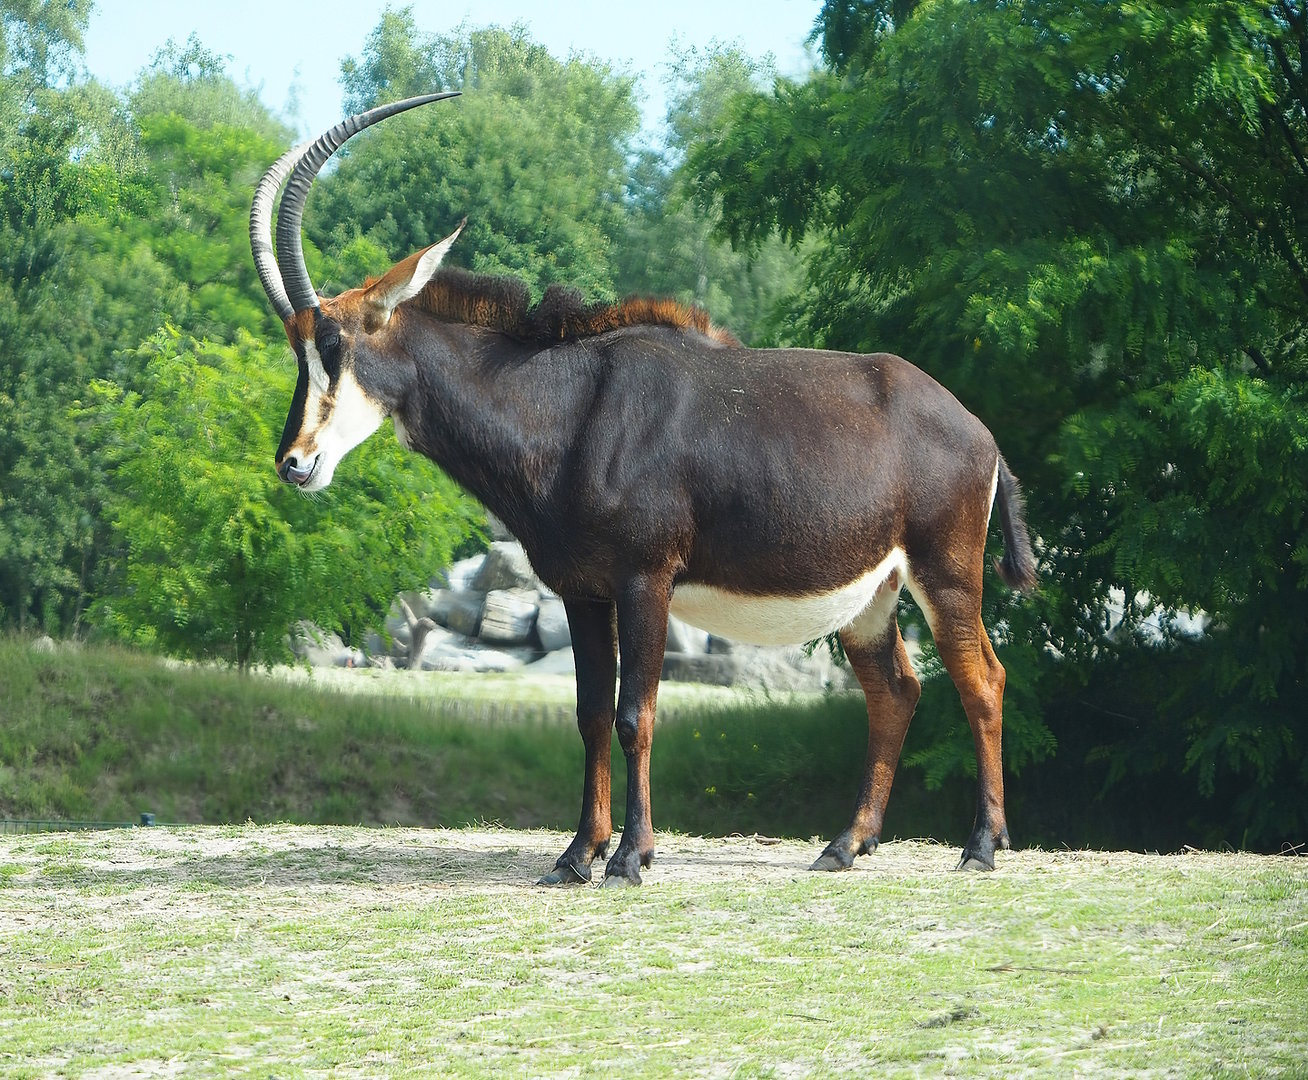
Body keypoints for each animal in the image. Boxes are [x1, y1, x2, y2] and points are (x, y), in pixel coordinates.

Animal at [250, 92, 1038, 886]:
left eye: (335, 345)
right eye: (296, 346)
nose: (294, 463)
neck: (571, 408)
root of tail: (981, 433)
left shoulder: (644, 581)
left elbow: (637, 715)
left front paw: (631, 856)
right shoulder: (583, 591)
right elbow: (591, 714)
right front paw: (577, 855)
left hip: (946, 575)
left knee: (984, 681)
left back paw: (981, 845)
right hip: (870, 596)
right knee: (896, 691)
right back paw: (846, 845)